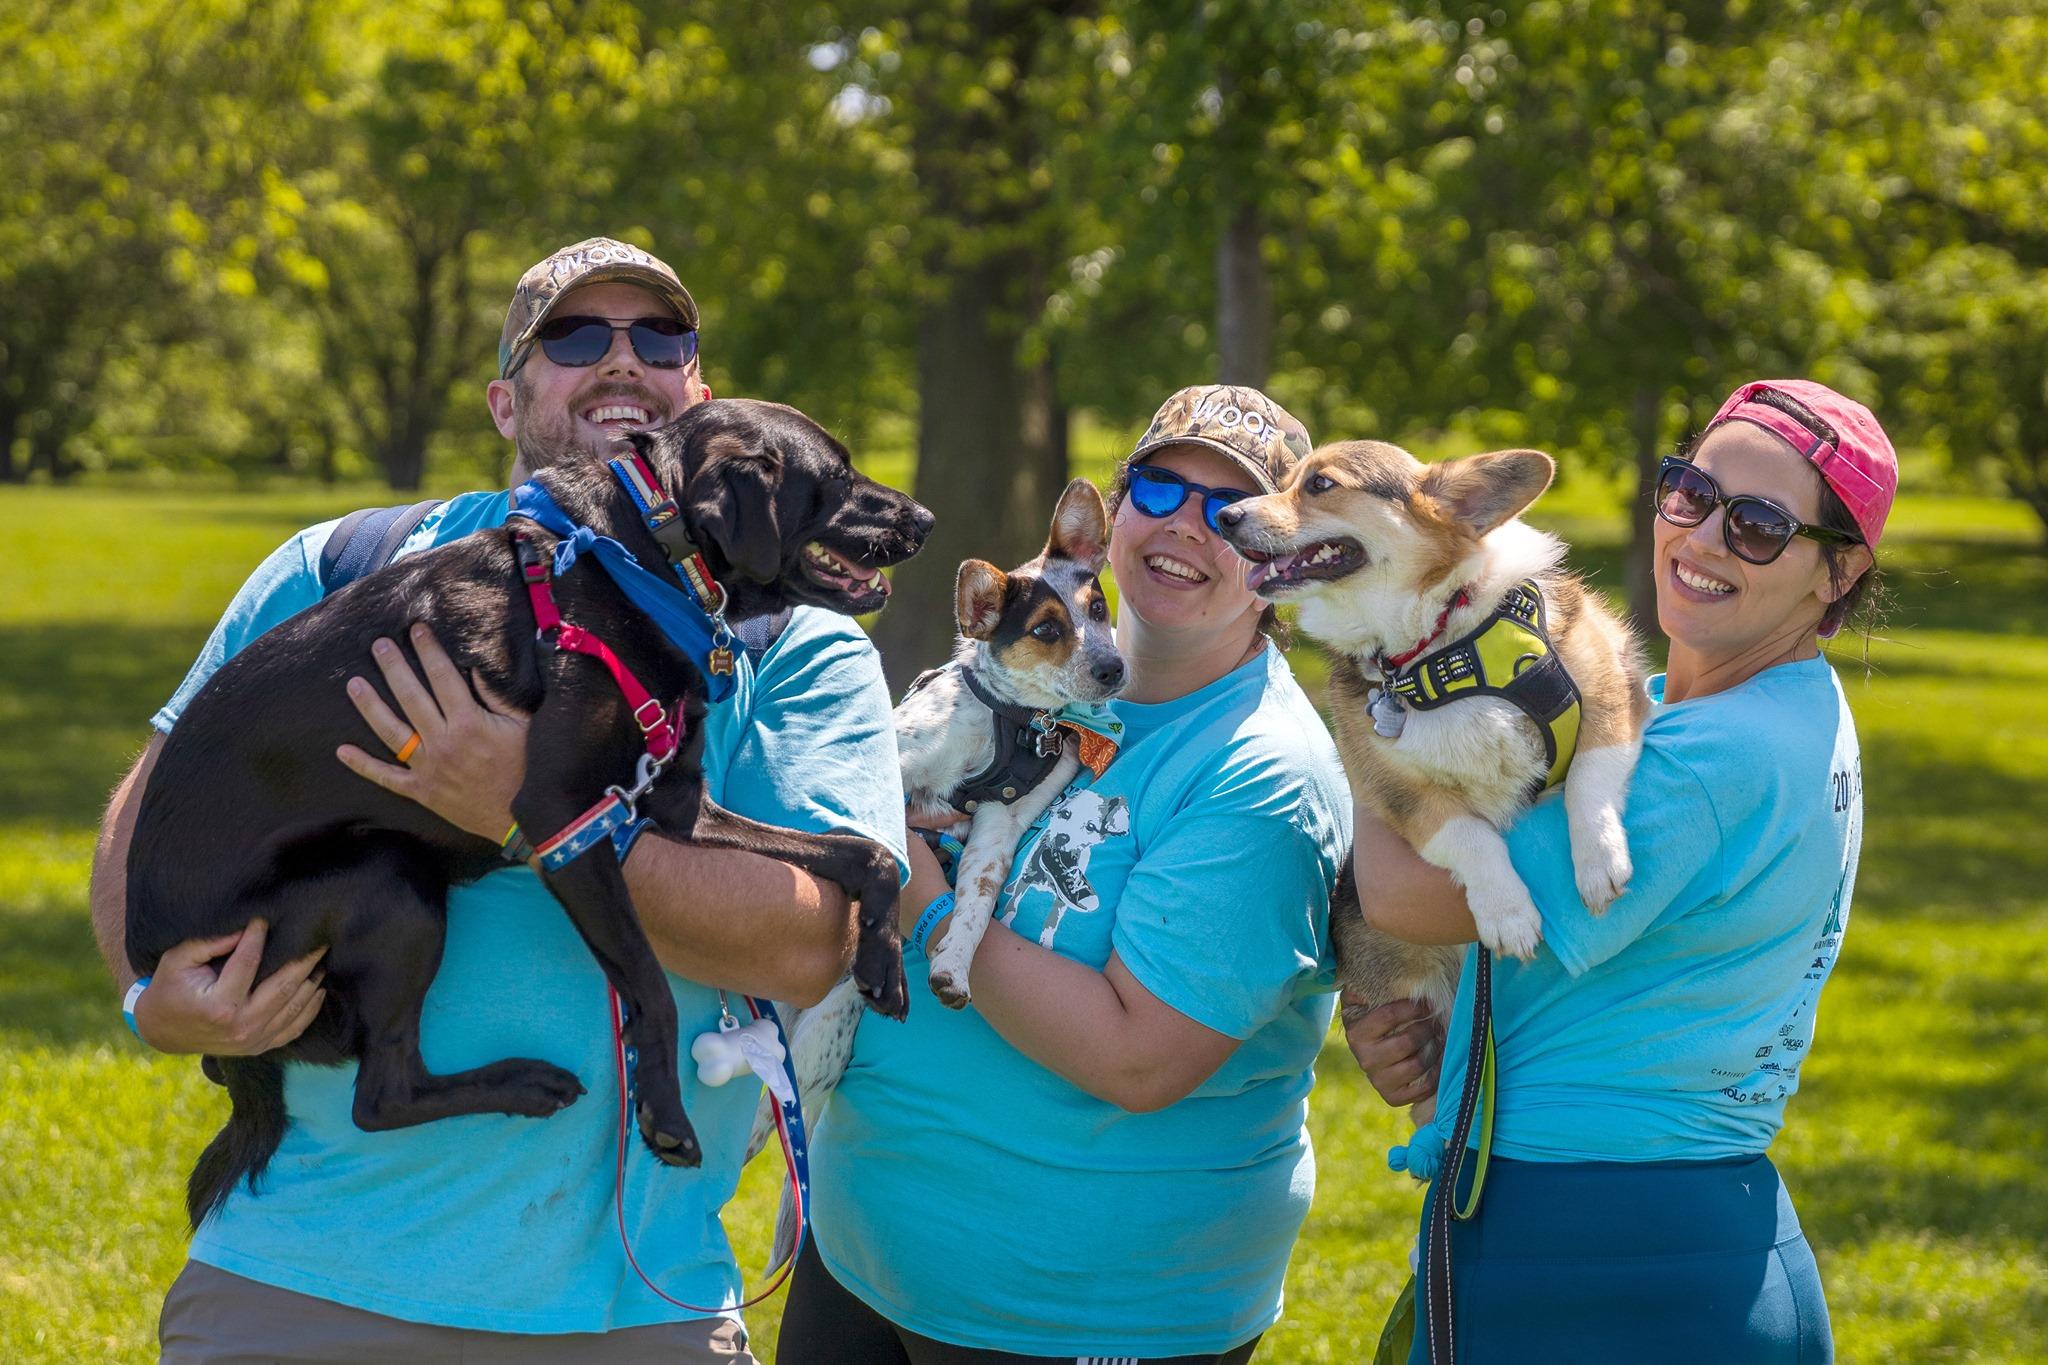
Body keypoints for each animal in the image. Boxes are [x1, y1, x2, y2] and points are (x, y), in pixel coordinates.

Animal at [125, 394, 929, 1227]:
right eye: (837, 475)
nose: (928, 518)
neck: (645, 556)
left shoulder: (677, 806)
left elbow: (862, 851)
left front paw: (881, 966)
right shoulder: (561, 817)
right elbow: (651, 982)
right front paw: (665, 1116)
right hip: (388, 884)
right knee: (381, 1094)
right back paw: (527, 1083)